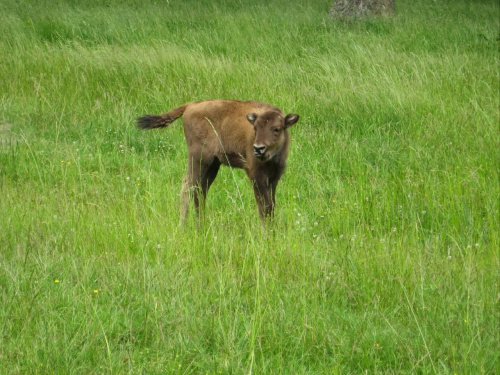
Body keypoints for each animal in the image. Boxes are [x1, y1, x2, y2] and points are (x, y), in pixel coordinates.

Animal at [137, 99, 298, 223]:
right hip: (199, 159)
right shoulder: (256, 176)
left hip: (213, 165)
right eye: (255, 128)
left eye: (276, 129)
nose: (258, 148)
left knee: (200, 191)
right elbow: (264, 207)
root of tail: (191, 105)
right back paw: (183, 226)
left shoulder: (274, 178)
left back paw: (200, 225)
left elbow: (271, 206)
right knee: (188, 186)